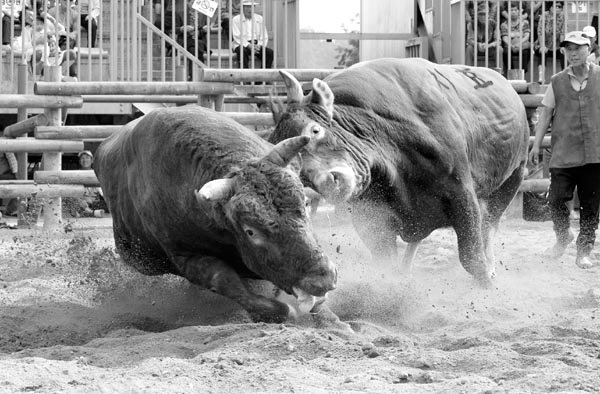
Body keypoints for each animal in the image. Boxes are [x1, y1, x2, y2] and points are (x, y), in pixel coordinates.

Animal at [94, 105, 338, 324]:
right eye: (250, 231)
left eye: (305, 203)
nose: (321, 278)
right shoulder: (185, 256)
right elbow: (223, 279)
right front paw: (279, 311)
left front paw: (333, 321)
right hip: (141, 260)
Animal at [270, 57, 528, 286]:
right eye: (301, 174)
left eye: (315, 130)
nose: (329, 182)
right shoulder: (369, 213)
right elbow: (385, 261)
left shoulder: (461, 191)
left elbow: (472, 257)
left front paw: (486, 283)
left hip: (513, 178)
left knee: (489, 225)